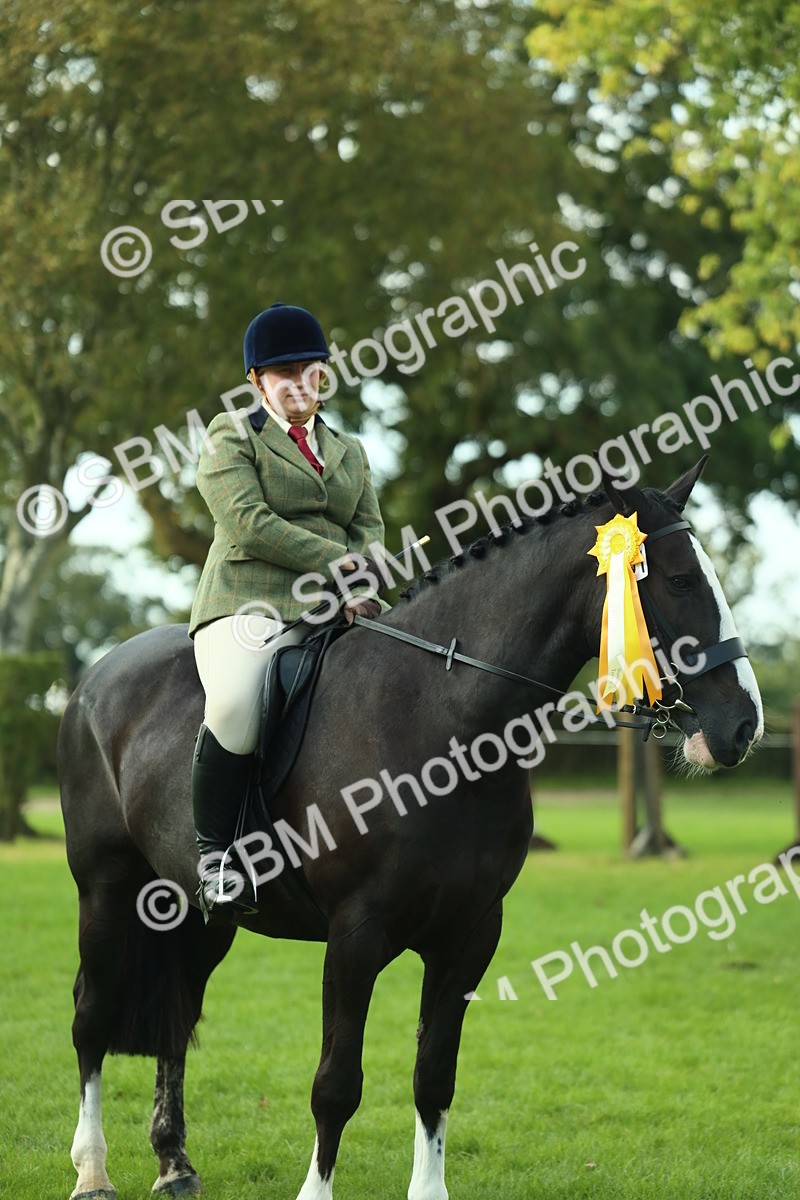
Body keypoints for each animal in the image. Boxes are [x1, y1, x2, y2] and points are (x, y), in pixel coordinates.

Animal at [58, 459, 763, 1200]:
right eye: (680, 581)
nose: (744, 726)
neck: (445, 719)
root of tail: (97, 675)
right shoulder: (356, 935)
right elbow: (336, 1085)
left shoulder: (470, 935)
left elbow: (434, 1079)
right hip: (106, 890)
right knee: (92, 1015)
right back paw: (93, 1172)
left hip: (199, 914)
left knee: (177, 1015)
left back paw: (174, 1165)